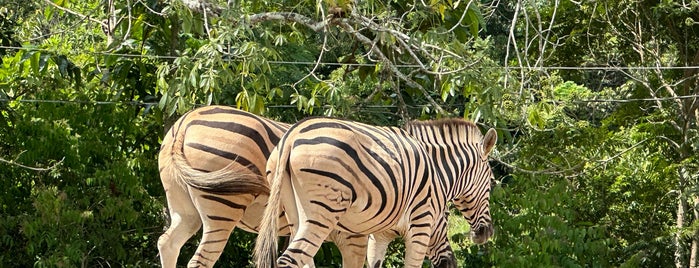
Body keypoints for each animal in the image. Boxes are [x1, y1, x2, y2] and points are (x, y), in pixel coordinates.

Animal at [156, 106, 456, 268]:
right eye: (444, 215)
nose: (451, 262)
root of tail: (186, 121)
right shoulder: (352, 235)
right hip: (223, 209)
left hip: (185, 209)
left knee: (168, 243)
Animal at [254, 116, 494, 266]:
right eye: (491, 183)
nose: (487, 233)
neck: (437, 171)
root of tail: (291, 136)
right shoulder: (421, 225)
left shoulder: (380, 233)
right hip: (322, 213)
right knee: (290, 259)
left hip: (294, 213)